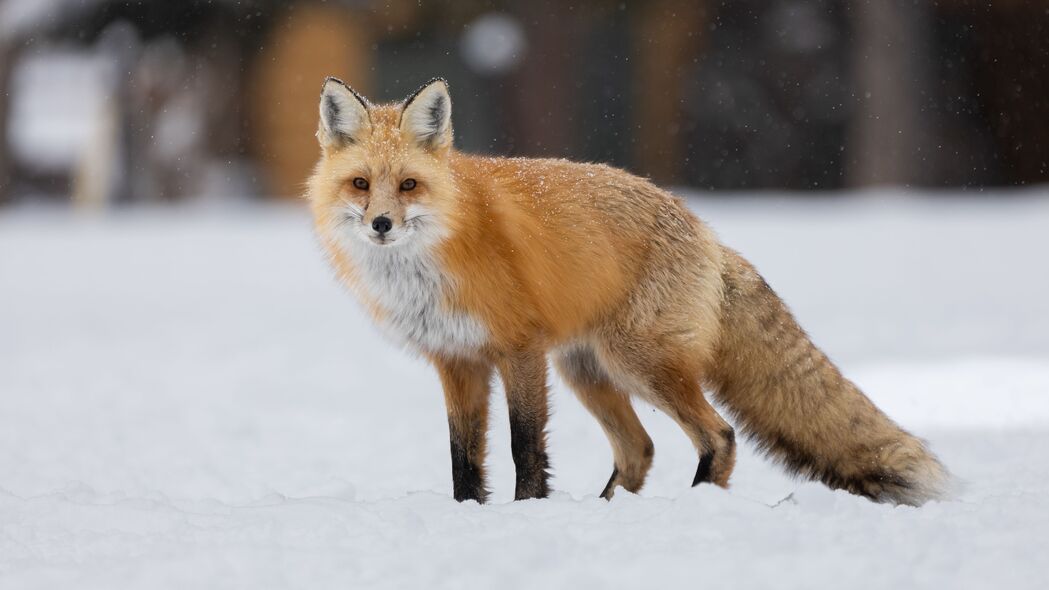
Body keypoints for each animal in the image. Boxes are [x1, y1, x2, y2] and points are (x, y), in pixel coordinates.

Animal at [306, 75, 952, 503]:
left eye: (408, 185)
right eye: (360, 184)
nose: (380, 225)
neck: (429, 262)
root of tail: (707, 231)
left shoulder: (519, 349)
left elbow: (524, 449)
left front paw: (527, 512)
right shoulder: (456, 359)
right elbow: (463, 459)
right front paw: (470, 514)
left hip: (637, 360)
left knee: (718, 434)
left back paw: (695, 506)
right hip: (588, 370)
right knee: (639, 449)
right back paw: (608, 510)